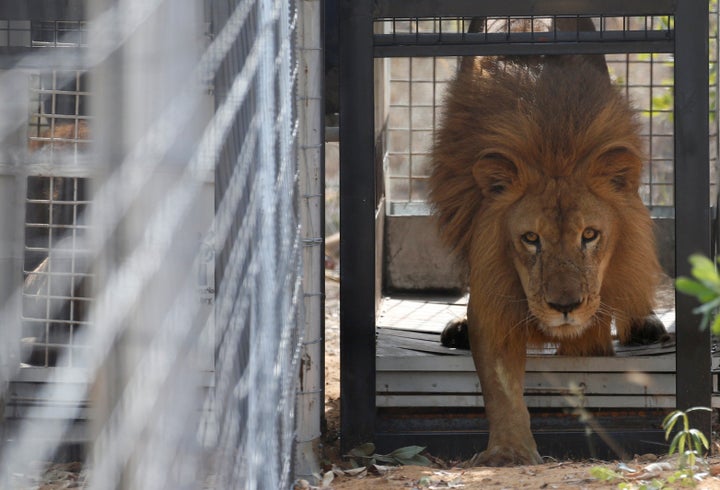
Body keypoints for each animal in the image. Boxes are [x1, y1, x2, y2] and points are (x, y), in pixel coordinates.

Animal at [430, 19, 668, 468]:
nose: (564, 306)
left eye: (589, 235)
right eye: (530, 239)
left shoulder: (593, 319)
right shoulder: (494, 295)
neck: (555, 150)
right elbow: (500, 387)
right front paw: (509, 451)